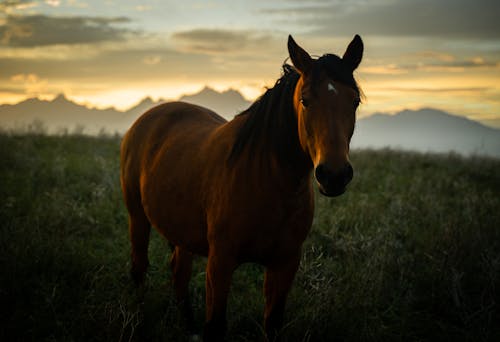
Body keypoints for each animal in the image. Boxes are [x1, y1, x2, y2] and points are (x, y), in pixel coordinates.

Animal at [121, 34, 364, 340]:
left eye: (354, 101)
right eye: (305, 100)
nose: (334, 175)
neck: (267, 182)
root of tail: (147, 117)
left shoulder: (284, 264)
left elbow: (272, 323)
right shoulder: (220, 263)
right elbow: (215, 325)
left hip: (182, 231)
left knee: (179, 272)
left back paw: (188, 326)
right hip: (137, 217)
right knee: (139, 268)